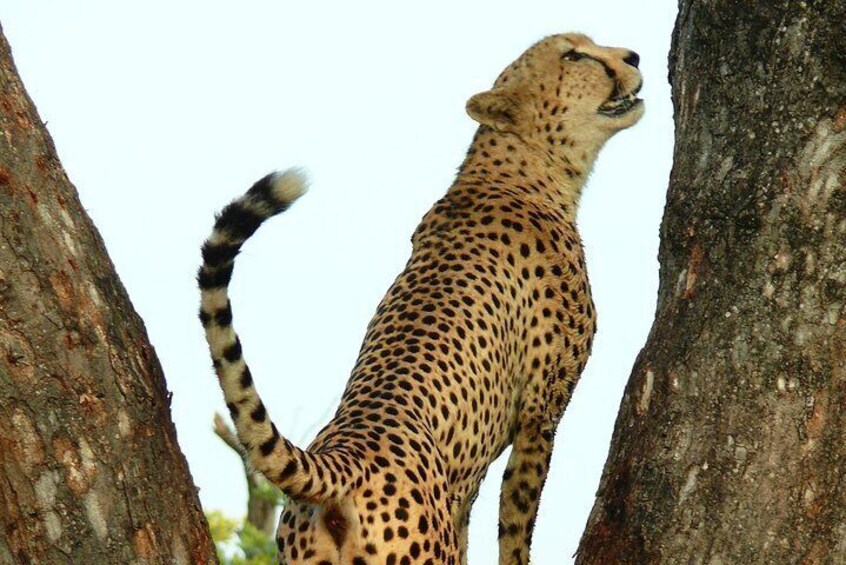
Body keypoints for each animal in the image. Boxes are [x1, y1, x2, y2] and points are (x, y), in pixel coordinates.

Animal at [202, 33, 644, 560]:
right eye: (574, 55)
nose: (634, 57)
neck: (522, 169)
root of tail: (344, 455)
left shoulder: (466, 490)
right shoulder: (541, 413)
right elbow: (516, 522)